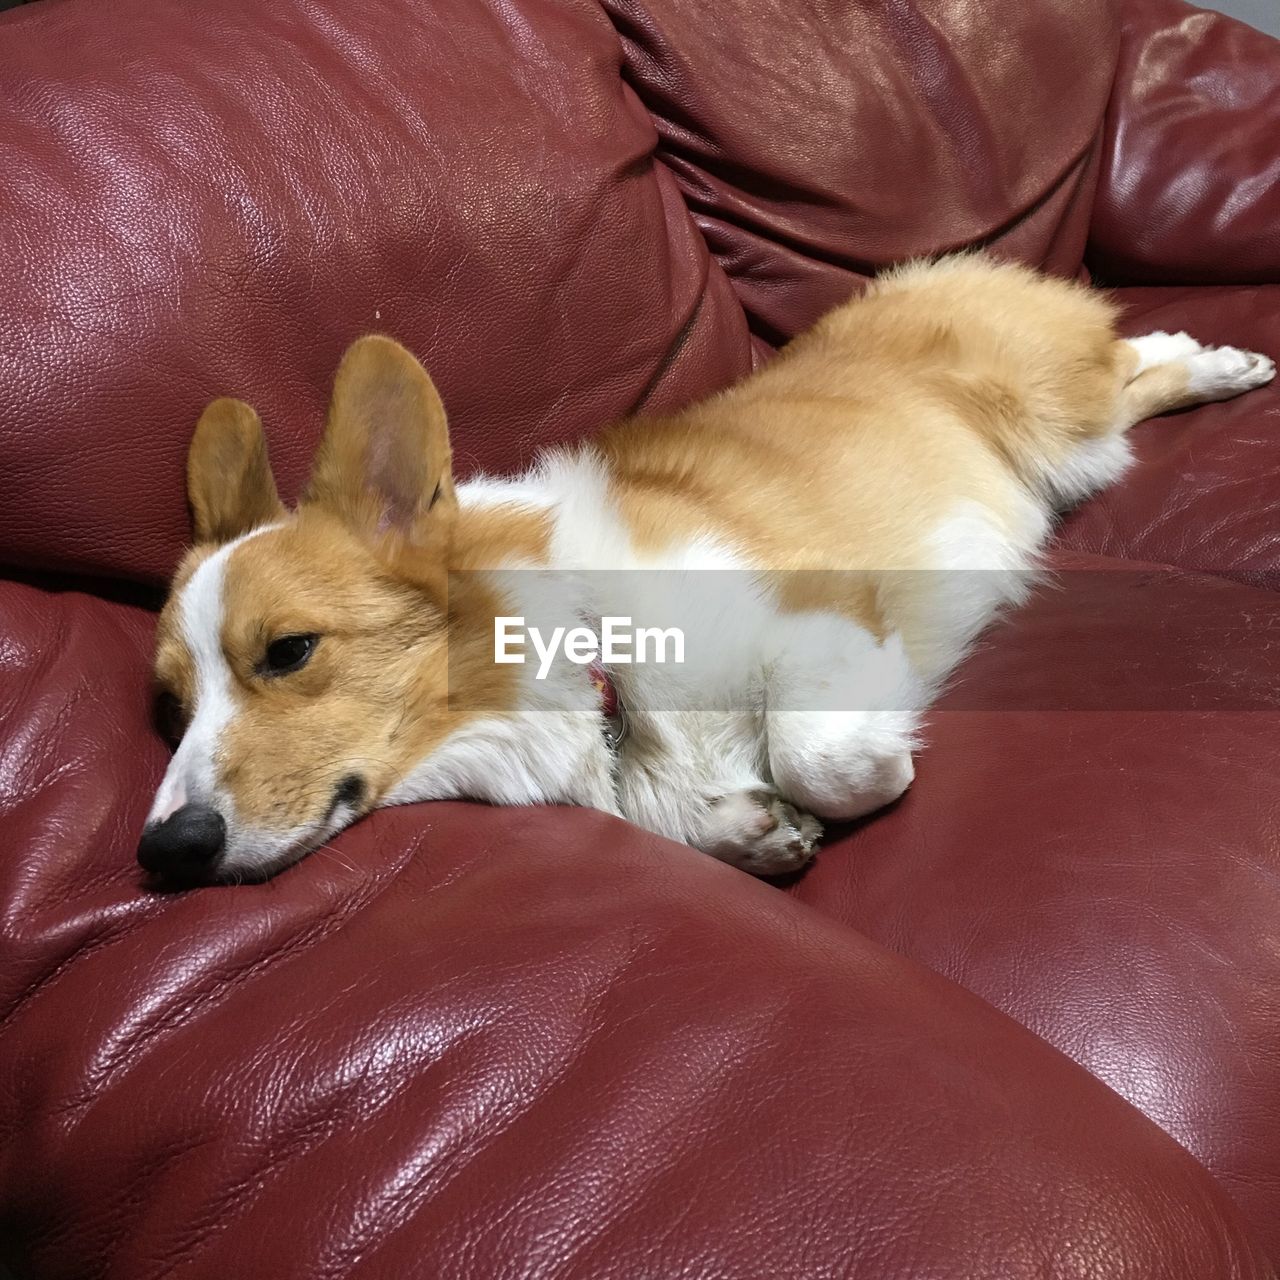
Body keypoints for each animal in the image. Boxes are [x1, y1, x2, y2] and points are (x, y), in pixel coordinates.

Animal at [135, 254, 1274, 885]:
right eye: (173, 704)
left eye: (289, 651)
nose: (162, 854)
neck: (584, 655)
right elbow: (689, 813)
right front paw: (751, 830)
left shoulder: (817, 612)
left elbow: (820, 752)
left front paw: (874, 769)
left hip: (1055, 421)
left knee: (1128, 360)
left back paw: (1226, 361)